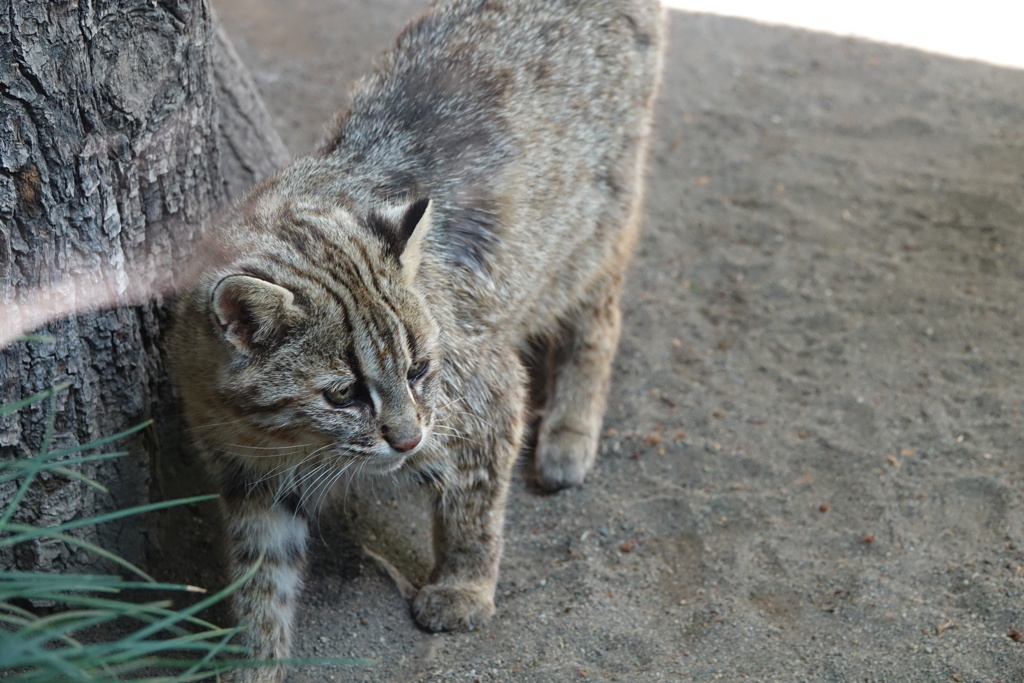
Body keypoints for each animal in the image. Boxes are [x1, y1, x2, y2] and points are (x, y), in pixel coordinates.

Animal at [169, 1, 663, 679]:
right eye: (343, 394)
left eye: (419, 369)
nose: (406, 440)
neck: (280, 438)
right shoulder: (248, 479)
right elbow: (259, 578)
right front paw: (253, 660)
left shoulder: (487, 394)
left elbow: (472, 509)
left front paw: (463, 587)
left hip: (590, 237)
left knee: (602, 315)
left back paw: (569, 433)